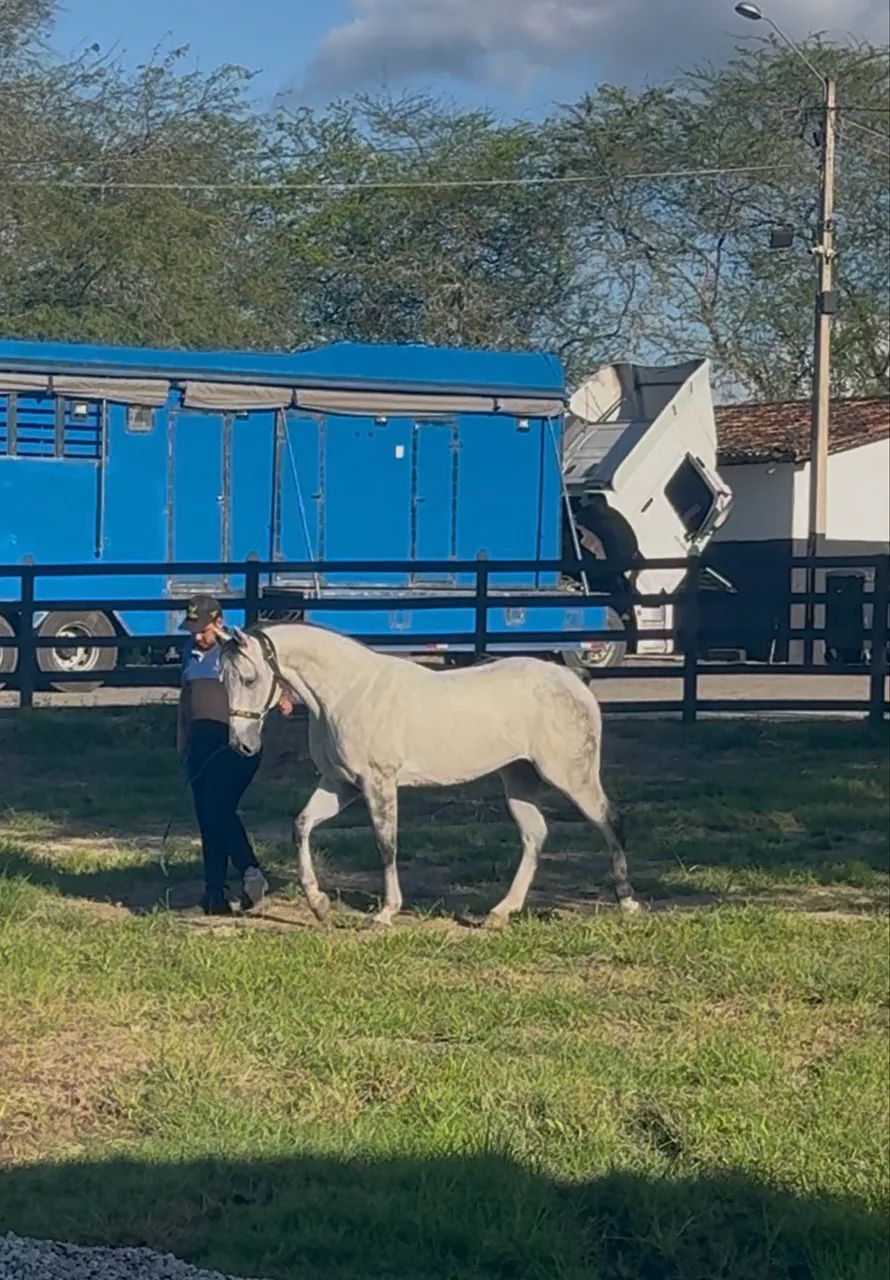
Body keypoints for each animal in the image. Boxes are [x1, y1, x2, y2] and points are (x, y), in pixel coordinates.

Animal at [219, 624, 638, 927]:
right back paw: (500, 913)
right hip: (518, 778)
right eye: (224, 680)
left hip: (571, 774)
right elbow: (302, 825)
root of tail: (575, 680)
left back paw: (628, 901)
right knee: (535, 834)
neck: (348, 691)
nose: (242, 746)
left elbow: (386, 845)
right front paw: (319, 905)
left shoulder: (378, 783)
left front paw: (385, 913)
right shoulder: (340, 785)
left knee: (609, 820)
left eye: (250, 679)